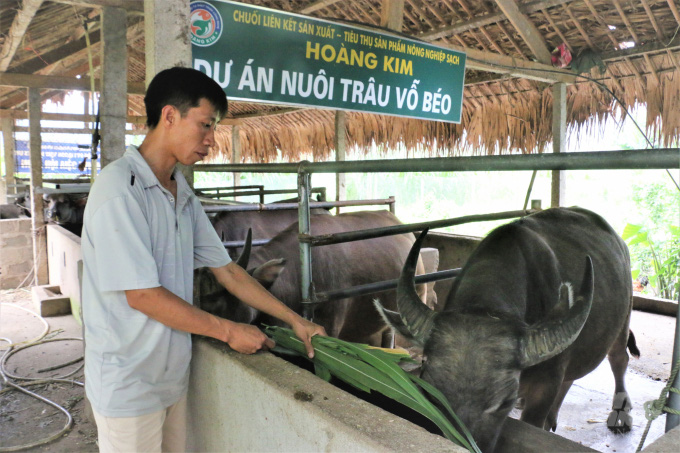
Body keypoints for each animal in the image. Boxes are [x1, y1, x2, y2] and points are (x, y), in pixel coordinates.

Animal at [378, 207, 636, 452]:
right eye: (431, 392)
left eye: (504, 402)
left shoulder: (545, 385)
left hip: (624, 317)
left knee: (619, 357)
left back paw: (620, 413)